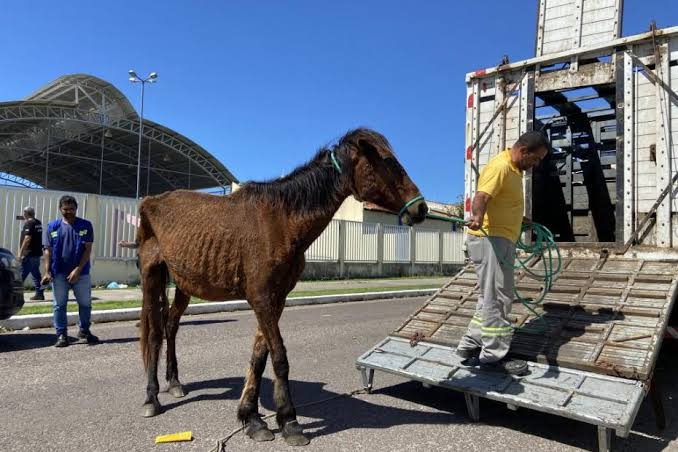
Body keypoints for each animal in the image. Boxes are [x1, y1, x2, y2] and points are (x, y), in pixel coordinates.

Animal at [133, 127, 430, 444]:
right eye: (388, 162)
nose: (421, 207)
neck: (282, 221)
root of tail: (149, 201)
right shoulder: (261, 298)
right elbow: (279, 357)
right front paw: (289, 420)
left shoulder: (277, 299)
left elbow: (259, 357)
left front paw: (252, 418)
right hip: (151, 275)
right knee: (154, 335)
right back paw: (151, 398)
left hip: (184, 285)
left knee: (171, 326)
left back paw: (174, 382)